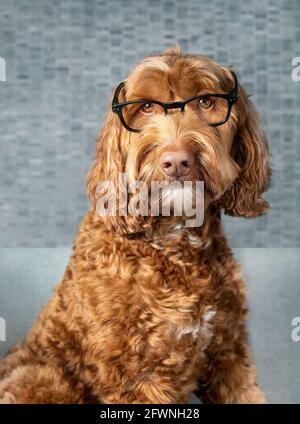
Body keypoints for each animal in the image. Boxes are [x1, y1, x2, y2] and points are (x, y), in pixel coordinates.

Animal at [0, 47, 272, 404]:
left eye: (204, 101)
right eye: (145, 107)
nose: (177, 161)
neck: (174, 241)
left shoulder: (227, 352)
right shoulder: (136, 377)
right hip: (43, 379)